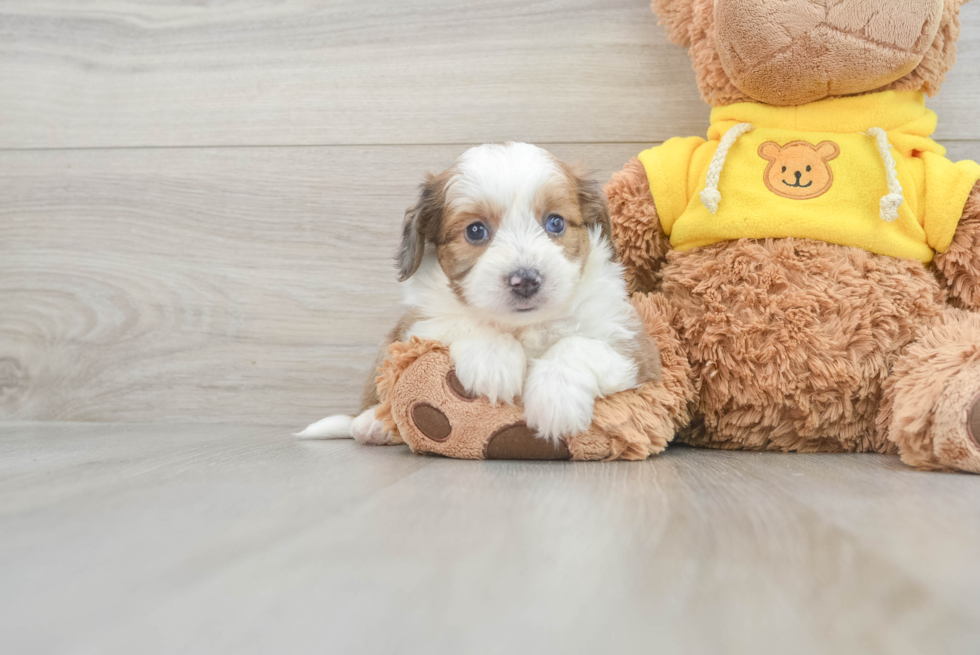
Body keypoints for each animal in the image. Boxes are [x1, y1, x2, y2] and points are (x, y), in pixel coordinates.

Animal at [298, 144, 660, 446]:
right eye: (475, 230)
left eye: (555, 223)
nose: (525, 280)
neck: (521, 326)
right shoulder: (418, 323)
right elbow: (462, 320)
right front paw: (494, 361)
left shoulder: (634, 347)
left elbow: (577, 345)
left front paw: (556, 398)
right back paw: (372, 422)